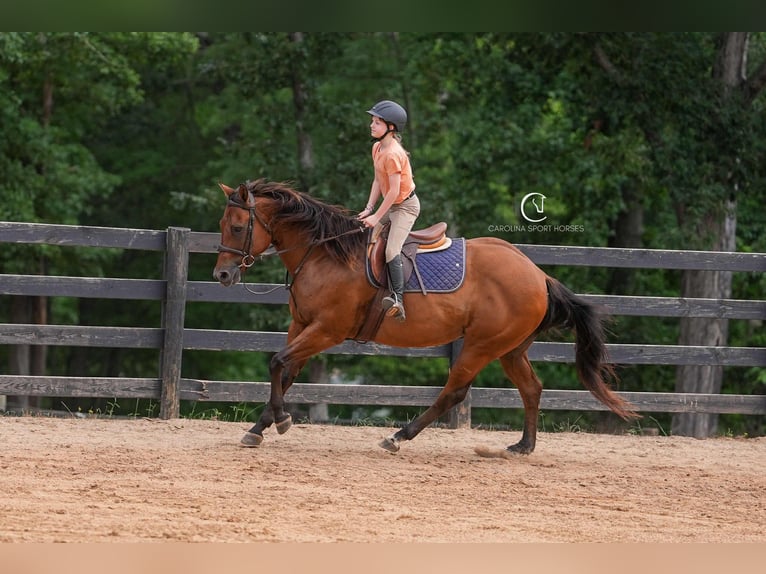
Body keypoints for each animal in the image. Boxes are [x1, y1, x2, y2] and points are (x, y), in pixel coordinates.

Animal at [213, 178, 640, 455]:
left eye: (237, 226)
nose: (222, 276)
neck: (324, 254)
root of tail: (538, 275)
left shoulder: (326, 330)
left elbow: (277, 362)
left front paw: (281, 421)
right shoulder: (302, 326)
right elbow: (285, 371)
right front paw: (260, 428)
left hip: (481, 345)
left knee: (454, 391)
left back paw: (399, 437)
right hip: (510, 349)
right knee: (531, 388)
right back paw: (523, 446)